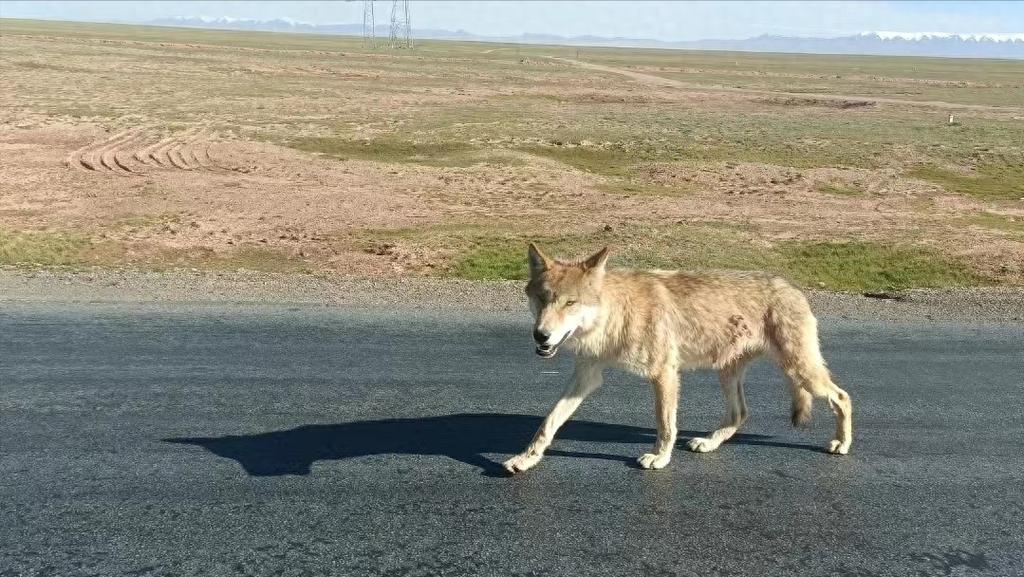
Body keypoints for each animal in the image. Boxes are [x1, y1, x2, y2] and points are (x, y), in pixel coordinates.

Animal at [499, 243, 851, 473]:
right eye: (542, 299)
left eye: (570, 303)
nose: (541, 336)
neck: (616, 316)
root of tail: (793, 287)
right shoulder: (586, 377)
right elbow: (549, 422)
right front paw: (526, 458)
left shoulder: (664, 374)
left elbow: (665, 424)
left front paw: (659, 459)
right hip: (730, 374)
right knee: (740, 414)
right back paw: (708, 443)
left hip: (799, 370)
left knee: (843, 397)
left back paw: (841, 444)